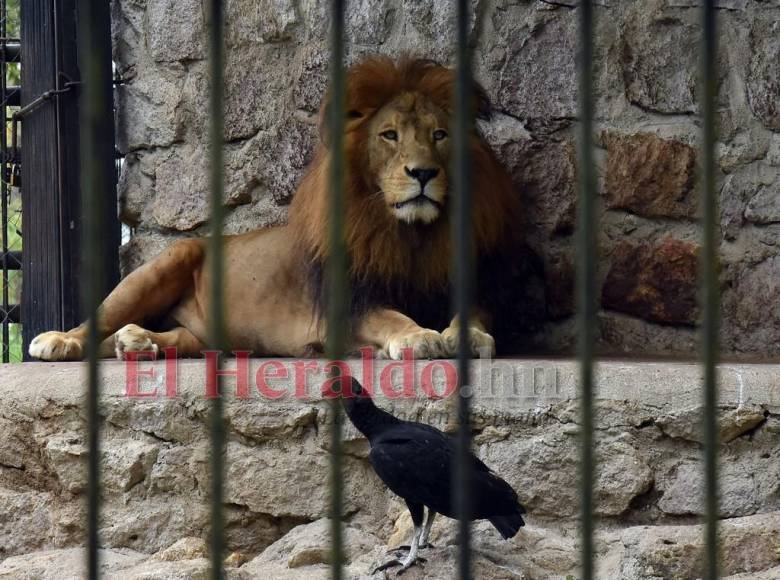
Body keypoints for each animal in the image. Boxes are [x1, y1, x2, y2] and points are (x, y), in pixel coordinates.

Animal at [32, 56, 532, 360]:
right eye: (389, 135)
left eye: (439, 135)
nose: (423, 172)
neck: (411, 234)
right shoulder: (350, 303)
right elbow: (390, 316)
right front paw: (418, 335)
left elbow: (474, 313)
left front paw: (468, 336)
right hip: (159, 269)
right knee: (96, 324)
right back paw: (61, 341)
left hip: (204, 334)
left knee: (165, 339)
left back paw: (138, 342)